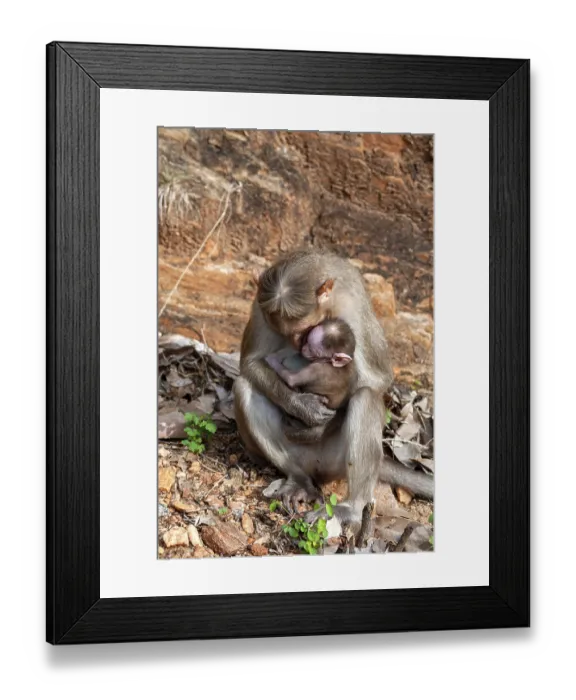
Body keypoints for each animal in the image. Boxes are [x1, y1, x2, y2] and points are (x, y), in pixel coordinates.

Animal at [233, 249, 434, 525]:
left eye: (307, 330)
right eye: (290, 332)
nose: (301, 345)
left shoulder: (353, 303)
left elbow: (378, 378)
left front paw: (319, 426)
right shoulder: (261, 304)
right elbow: (250, 364)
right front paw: (303, 407)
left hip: (334, 463)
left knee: (365, 397)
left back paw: (352, 506)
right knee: (245, 387)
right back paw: (299, 481)